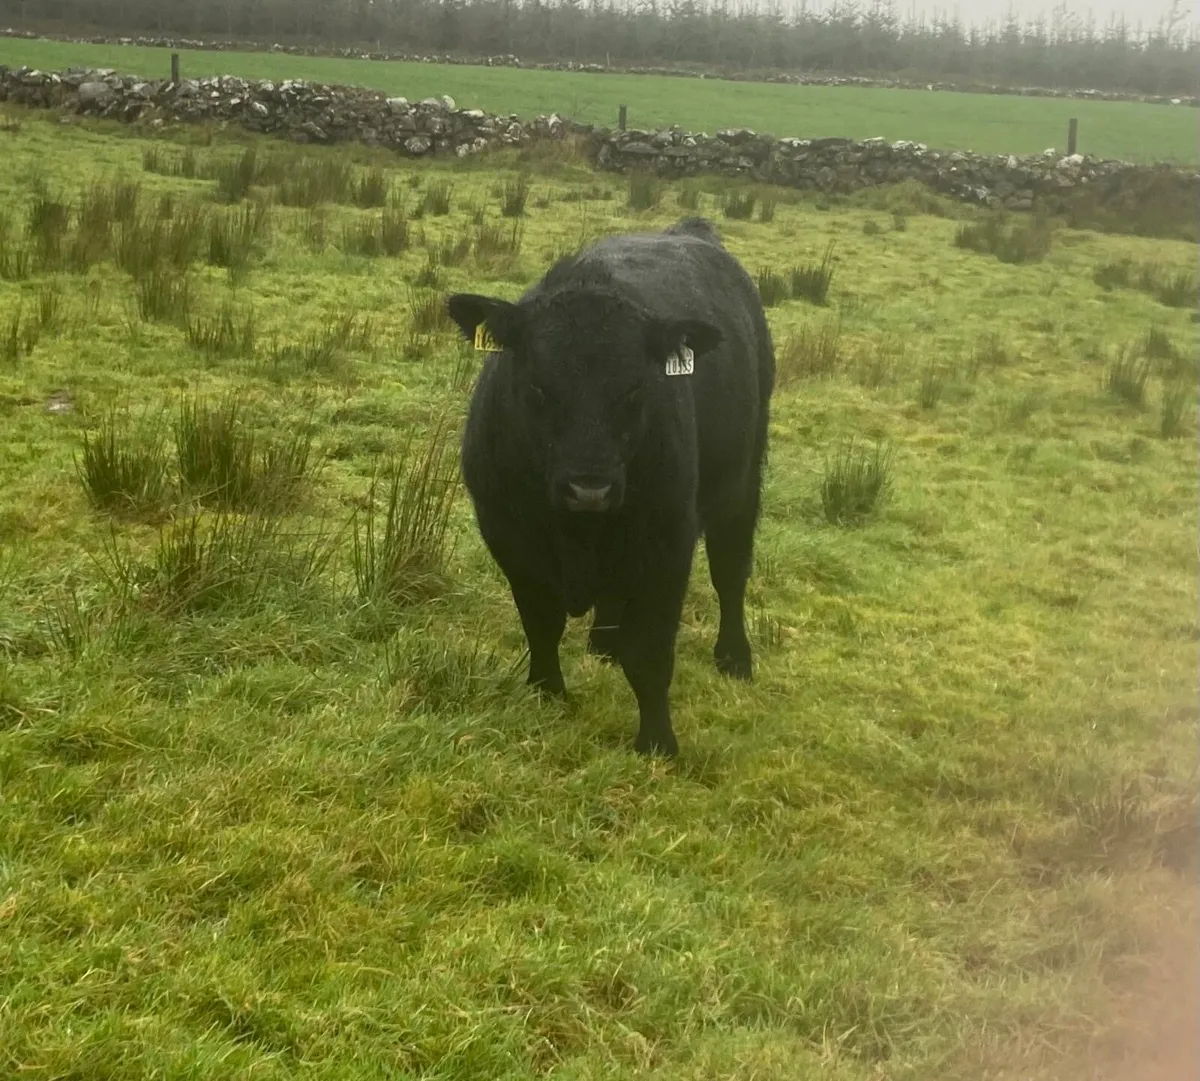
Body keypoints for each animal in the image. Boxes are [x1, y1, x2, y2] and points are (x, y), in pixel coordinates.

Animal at [446, 216, 774, 756]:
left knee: (730, 574)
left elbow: (650, 654)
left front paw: (658, 742)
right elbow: (540, 624)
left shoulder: (668, 543)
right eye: (536, 386)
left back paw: (734, 656)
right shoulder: (509, 538)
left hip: (742, 483)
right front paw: (547, 692)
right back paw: (603, 642)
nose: (589, 489)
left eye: (637, 388)